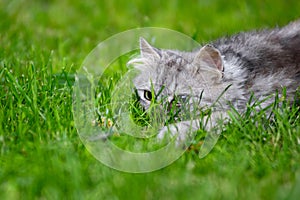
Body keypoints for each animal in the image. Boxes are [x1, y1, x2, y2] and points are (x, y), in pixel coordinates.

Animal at [127, 20, 300, 145]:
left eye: (180, 99)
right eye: (148, 96)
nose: (157, 118)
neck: (244, 76)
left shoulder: (265, 108)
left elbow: (209, 120)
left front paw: (166, 135)